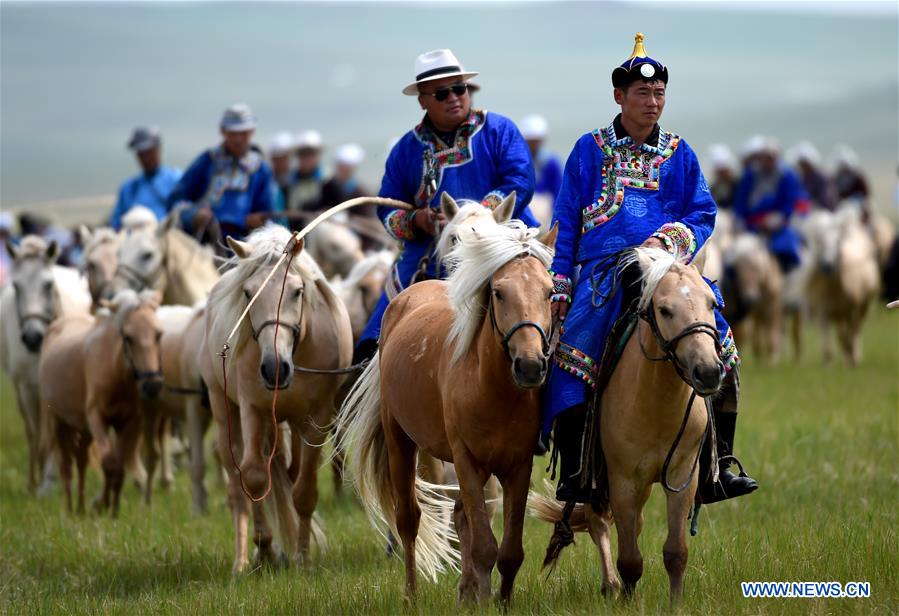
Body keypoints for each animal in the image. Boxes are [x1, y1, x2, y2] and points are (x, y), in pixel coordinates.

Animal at [0, 236, 91, 490]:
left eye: (48, 285)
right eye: (17, 286)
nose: (32, 337)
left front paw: (52, 479)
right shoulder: (26, 387)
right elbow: (37, 432)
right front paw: (39, 482)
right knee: (34, 433)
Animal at [39, 288, 163, 516]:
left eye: (159, 334)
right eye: (128, 337)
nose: (152, 385)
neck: (116, 372)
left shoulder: (128, 422)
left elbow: (118, 468)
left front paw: (112, 511)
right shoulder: (97, 419)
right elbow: (108, 464)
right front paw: (103, 507)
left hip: (83, 428)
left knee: (81, 461)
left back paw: (81, 508)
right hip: (58, 423)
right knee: (66, 466)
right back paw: (70, 510)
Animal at [199, 225, 354, 572]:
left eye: (297, 291)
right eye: (248, 293)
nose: (274, 369)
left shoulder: (317, 417)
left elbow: (304, 490)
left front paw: (302, 557)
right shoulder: (252, 410)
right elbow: (255, 478)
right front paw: (265, 547)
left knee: (290, 475)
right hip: (223, 409)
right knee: (237, 488)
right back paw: (242, 560)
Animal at [342, 220, 560, 600]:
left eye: (549, 292)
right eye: (499, 292)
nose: (530, 366)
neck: (492, 389)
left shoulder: (516, 466)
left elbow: (510, 551)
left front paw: (498, 599)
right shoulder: (466, 461)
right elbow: (485, 547)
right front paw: (484, 597)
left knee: (459, 516)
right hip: (401, 444)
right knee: (409, 520)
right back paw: (411, 596)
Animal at [532, 248, 728, 604]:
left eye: (711, 304)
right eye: (665, 309)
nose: (708, 372)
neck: (657, 402)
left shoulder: (682, 475)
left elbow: (675, 551)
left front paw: (675, 604)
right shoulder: (622, 478)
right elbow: (630, 558)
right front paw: (626, 598)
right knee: (600, 523)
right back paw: (610, 585)